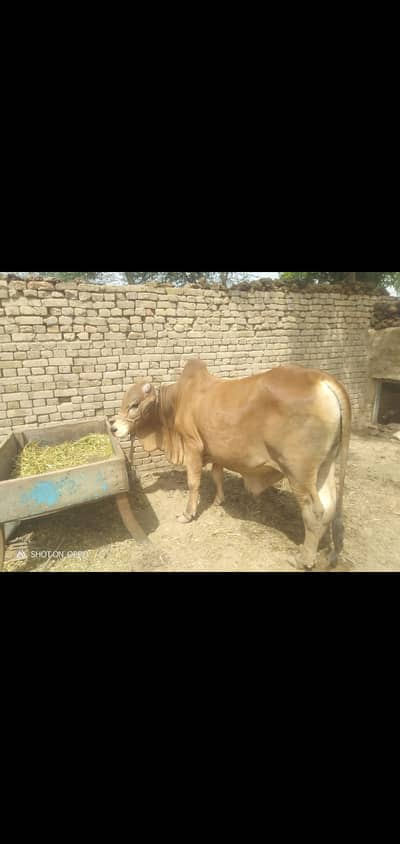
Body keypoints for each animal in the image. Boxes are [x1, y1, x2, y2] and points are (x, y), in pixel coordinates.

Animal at [111, 360, 351, 570]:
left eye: (134, 405)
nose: (113, 428)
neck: (176, 403)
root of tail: (321, 379)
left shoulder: (192, 446)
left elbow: (193, 483)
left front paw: (188, 514)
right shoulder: (217, 451)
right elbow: (217, 475)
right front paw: (219, 500)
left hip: (298, 472)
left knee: (314, 512)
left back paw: (303, 559)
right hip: (324, 466)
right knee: (328, 507)